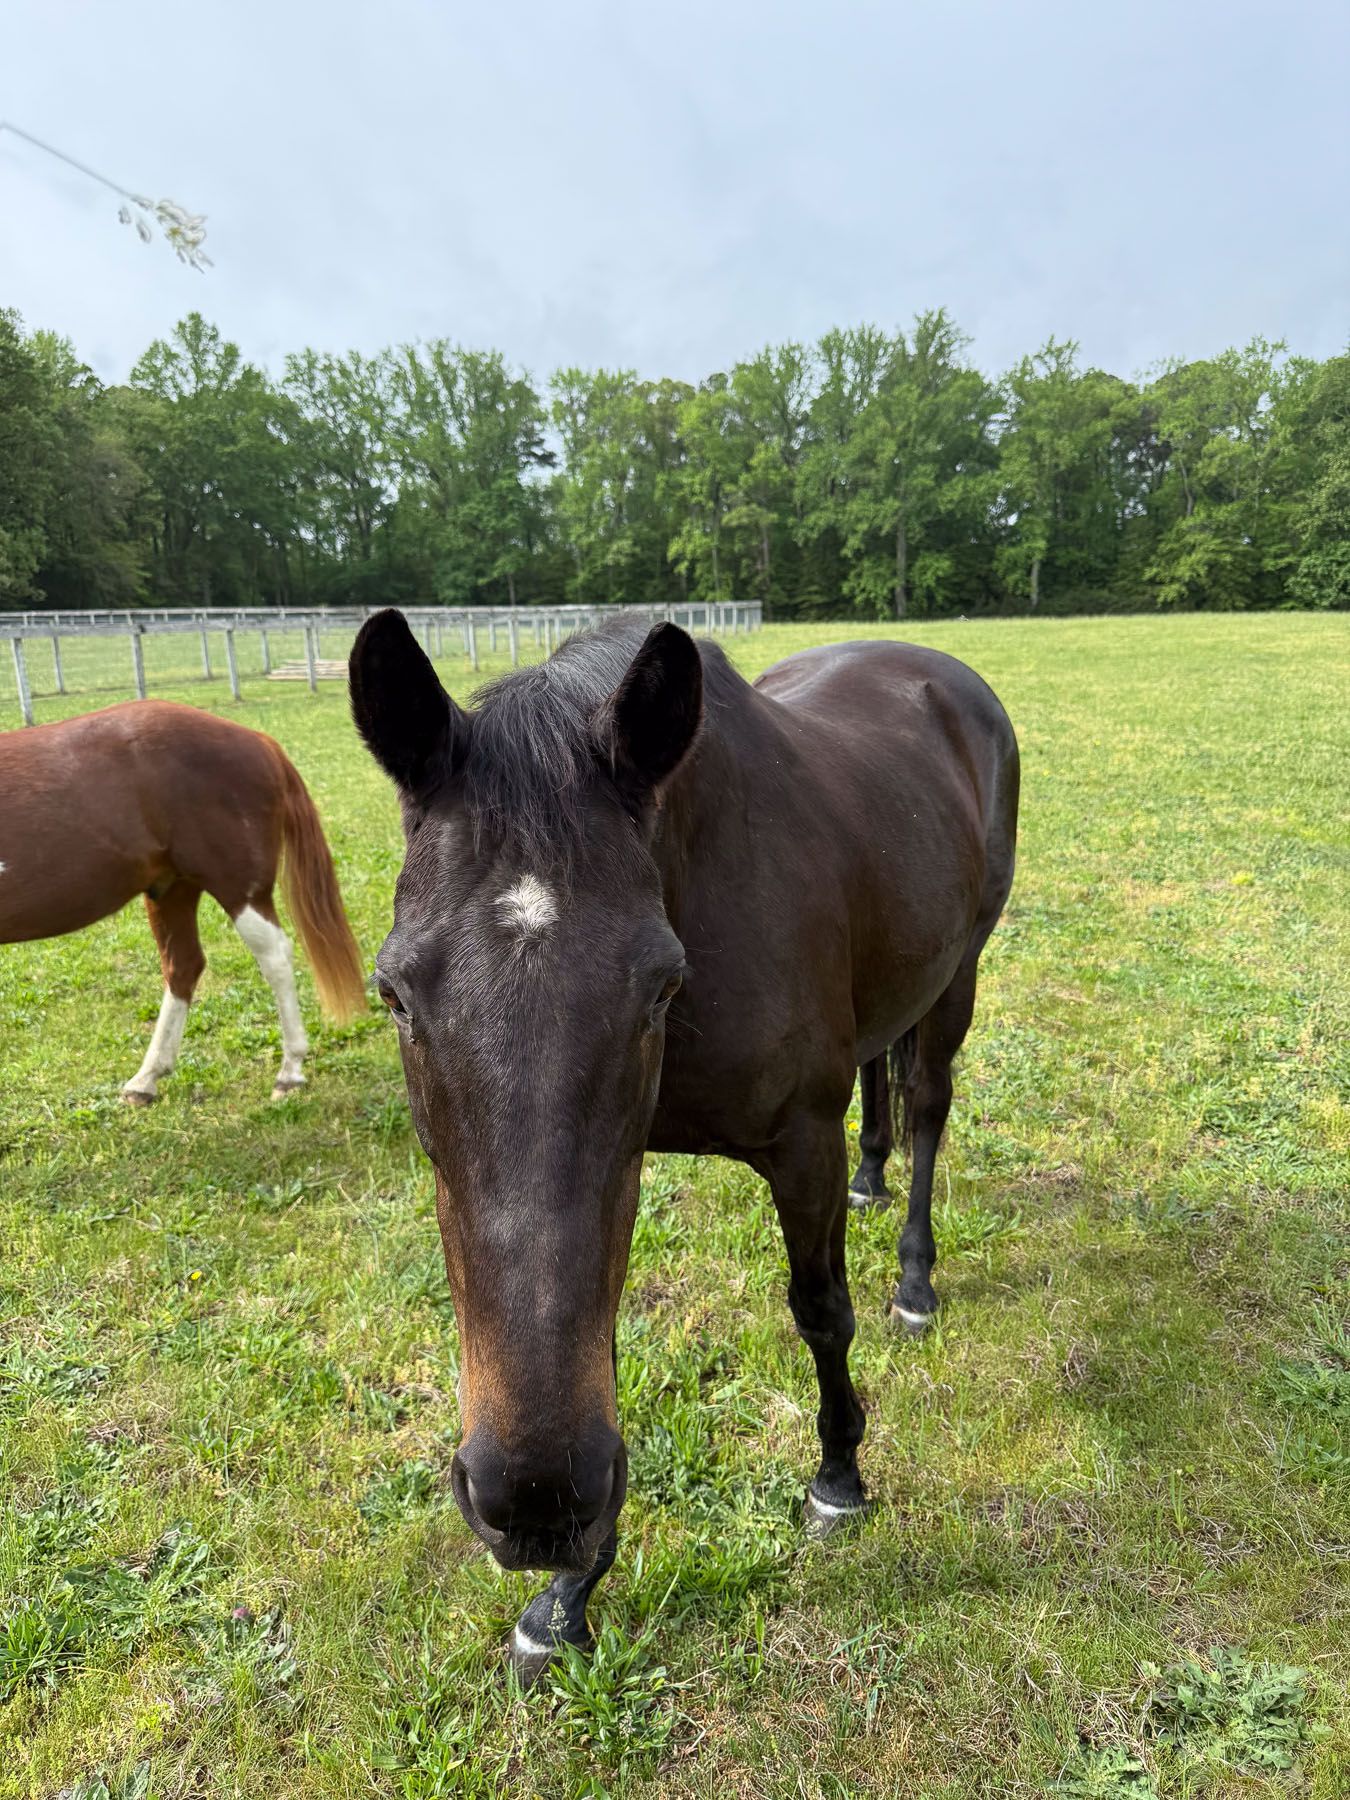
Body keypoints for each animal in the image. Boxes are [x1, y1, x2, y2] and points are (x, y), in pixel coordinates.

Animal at [0, 700, 366, 1101]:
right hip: (172, 888)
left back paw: (290, 1071)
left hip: (239, 890)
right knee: (183, 966)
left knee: (275, 957)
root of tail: (260, 741)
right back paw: (146, 1080)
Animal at [349, 610, 1019, 1681]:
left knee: (926, 1106)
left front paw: (840, 1476)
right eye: (395, 992)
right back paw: (875, 1182)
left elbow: (822, 1314)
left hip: (961, 972)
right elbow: (597, 1348)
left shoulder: (801, 1143)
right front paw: (567, 1598)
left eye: (662, 985)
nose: (533, 1503)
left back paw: (915, 1276)